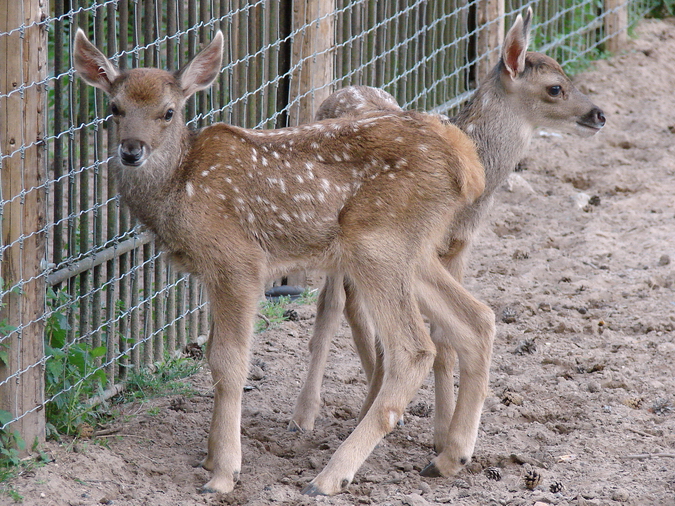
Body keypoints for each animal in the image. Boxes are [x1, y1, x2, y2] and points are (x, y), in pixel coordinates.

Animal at [73, 28, 492, 496]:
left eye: (168, 111)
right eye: (114, 108)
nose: (131, 150)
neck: (180, 188)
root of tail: (467, 163)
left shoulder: (238, 261)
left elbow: (228, 362)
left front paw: (224, 474)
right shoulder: (210, 273)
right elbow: (213, 354)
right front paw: (208, 457)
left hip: (377, 243)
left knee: (414, 348)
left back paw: (329, 477)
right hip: (412, 250)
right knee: (477, 320)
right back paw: (449, 458)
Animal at [289, 7, 605, 479]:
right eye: (555, 87)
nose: (599, 114)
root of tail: (341, 89)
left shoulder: (458, 249)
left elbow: (445, 340)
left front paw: (439, 434)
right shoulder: (420, 248)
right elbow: (435, 339)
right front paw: (436, 433)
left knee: (355, 304)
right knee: (330, 303)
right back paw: (306, 414)